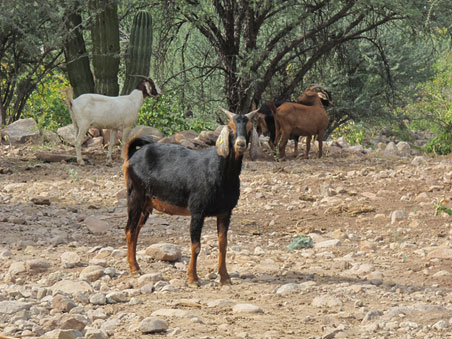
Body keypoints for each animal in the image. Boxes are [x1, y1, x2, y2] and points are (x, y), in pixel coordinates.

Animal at [122, 107, 258, 286]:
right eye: (231, 128)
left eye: (249, 128)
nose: (240, 144)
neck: (221, 172)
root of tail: (132, 155)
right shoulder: (197, 211)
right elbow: (196, 246)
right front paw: (193, 278)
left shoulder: (225, 212)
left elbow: (223, 244)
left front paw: (225, 277)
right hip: (135, 196)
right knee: (129, 230)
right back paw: (134, 269)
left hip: (147, 205)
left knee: (136, 230)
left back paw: (136, 266)